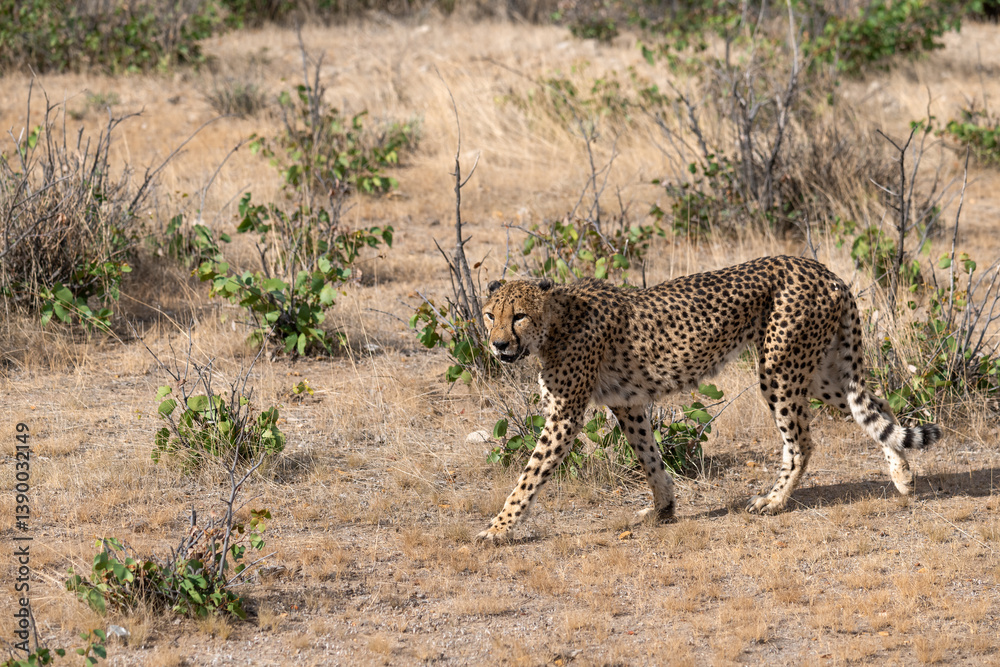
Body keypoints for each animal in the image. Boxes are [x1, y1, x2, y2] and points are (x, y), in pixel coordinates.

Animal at [476, 255, 942, 543]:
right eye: (490, 314)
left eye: (519, 316)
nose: (498, 345)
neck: (555, 322)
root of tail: (822, 270)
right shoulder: (627, 403)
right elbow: (649, 457)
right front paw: (663, 508)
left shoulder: (564, 416)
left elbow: (528, 477)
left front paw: (498, 528)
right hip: (818, 372)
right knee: (877, 407)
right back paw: (902, 475)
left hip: (779, 369)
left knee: (803, 442)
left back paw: (773, 501)